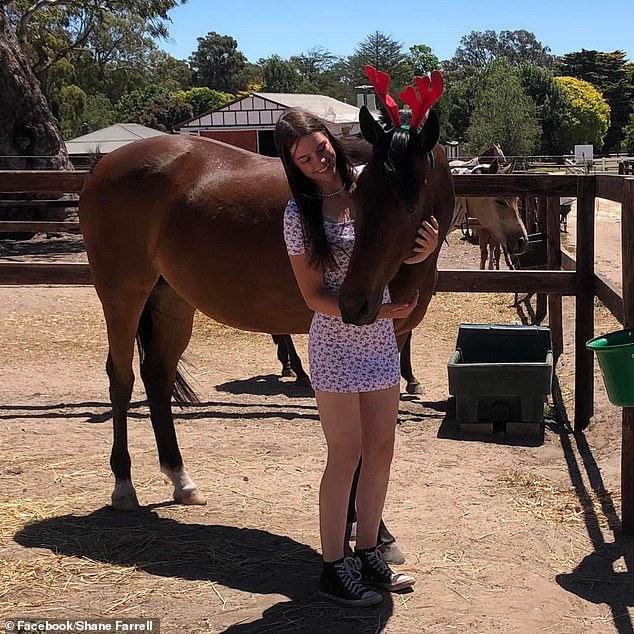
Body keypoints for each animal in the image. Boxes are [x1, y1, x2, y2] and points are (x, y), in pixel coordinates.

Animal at [79, 106, 454, 512]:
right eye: (360, 196)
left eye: (410, 203)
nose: (355, 303)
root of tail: (104, 164)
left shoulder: (394, 336)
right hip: (122, 296)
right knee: (121, 378)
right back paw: (123, 485)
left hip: (172, 304)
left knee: (157, 377)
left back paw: (181, 480)